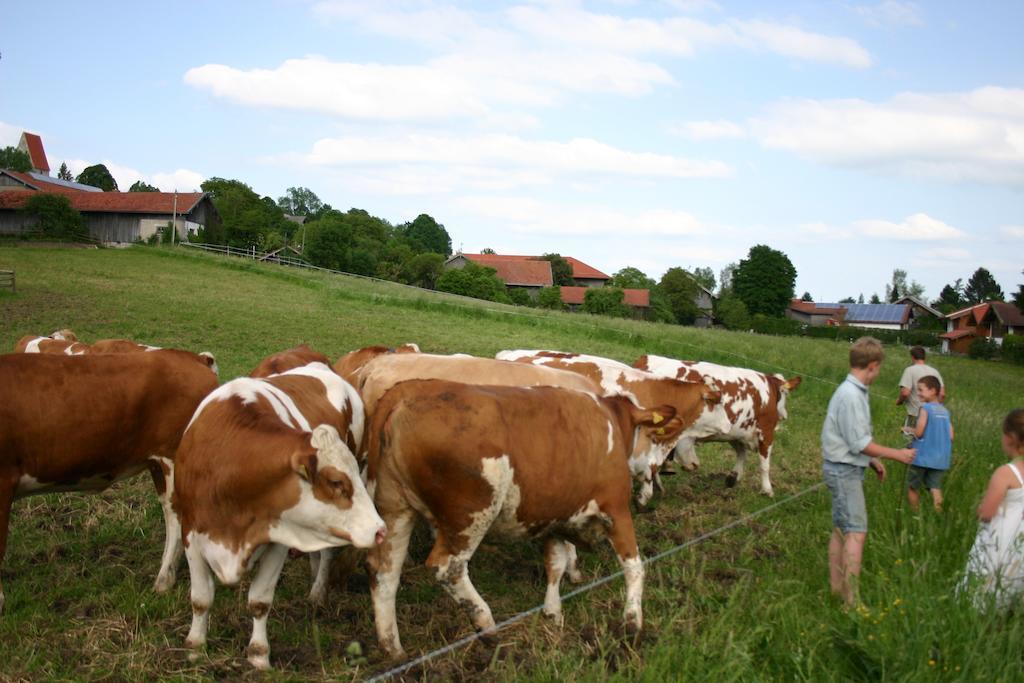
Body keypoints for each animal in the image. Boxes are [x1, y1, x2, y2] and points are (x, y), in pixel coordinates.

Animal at [0, 348, 220, 614]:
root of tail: (193, 357)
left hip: (175, 460)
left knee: (178, 517)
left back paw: (165, 577)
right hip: (158, 464)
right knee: (171, 514)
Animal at [174, 360, 385, 671]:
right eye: (336, 482)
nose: (380, 530)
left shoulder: (278, 539)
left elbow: (260, 601)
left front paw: (259, 655)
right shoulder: (191, 533)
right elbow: (200, 598)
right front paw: (195, 647)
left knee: (326, 554)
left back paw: (317, 592)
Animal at [364, 378, 684, 655]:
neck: (612, 420)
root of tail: (410, 389)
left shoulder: (556, 516)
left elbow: (555, 562)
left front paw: (553, 613)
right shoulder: (616, 510)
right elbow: (634, 567)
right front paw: (633, 623)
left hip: (395, 508)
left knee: (385, 573)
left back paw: (393, 649)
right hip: (470, 514)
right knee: (447, 568)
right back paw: (487, 625)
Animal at [630, 358, 798, 497]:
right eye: (785, 394)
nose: (784, 416)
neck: (767, 391)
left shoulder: (733, 432)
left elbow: (741, 452)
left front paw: (733, 477)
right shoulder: (766, 431)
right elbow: (764, 464)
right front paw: (767, 489)